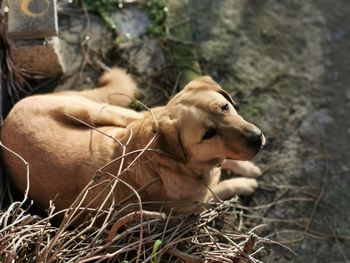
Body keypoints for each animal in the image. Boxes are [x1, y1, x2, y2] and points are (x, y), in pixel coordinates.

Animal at [0, 68, 264, 219]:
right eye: (208, 134)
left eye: (225, 107)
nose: (257, 137)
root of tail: (8, 117)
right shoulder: (196, 206)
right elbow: (222, 189)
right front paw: (245, 182)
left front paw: (246, 168)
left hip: (108, 113)